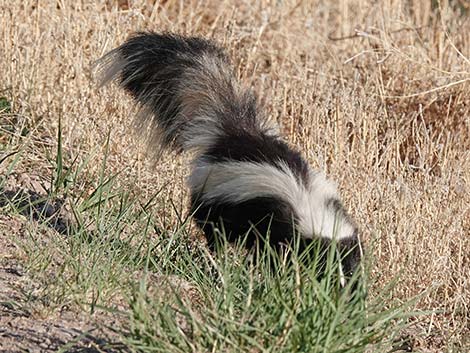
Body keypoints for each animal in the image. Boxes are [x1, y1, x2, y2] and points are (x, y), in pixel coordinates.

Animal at [97, 32, 362, 286]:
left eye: (349, 265)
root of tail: (232, 133)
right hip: (214, 197)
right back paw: (218, 256)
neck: (309, 203)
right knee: (213, 229)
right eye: (323, 258)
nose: (342, 284)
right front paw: (277, 274)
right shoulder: (277, 220)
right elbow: (274, 251)